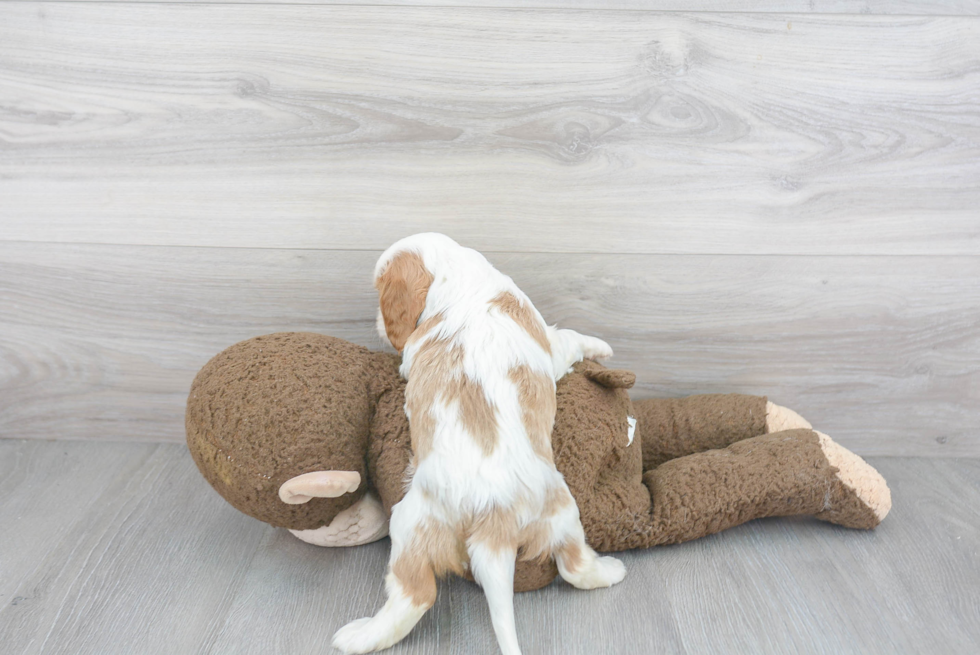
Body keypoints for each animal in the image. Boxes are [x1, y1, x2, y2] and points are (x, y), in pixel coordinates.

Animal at [334, 236, 628, 655]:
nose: (375, 322)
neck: (460, 279)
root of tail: (493, 515)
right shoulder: (548, 342)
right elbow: (568, 337)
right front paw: (602, 346)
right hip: (559, 511)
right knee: (572, 566)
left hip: (419, 521)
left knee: (415, 594)